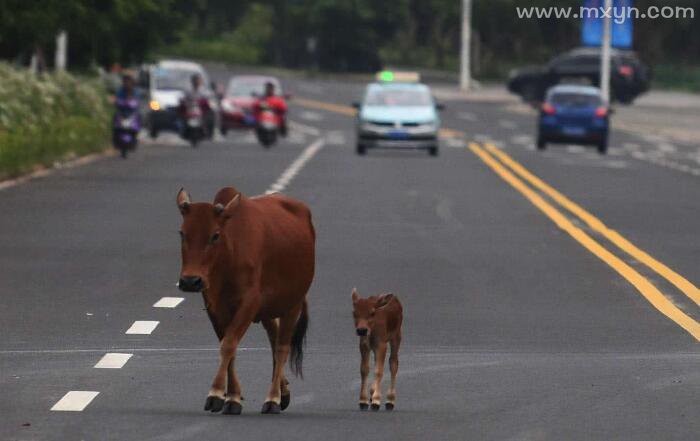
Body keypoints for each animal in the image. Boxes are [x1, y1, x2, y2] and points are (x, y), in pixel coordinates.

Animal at [176, 187, 316, 414]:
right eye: (182, 233)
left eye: (215, 235)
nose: (190, 281)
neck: (229, 255)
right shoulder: (215, 307)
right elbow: (228, 346)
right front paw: (232, 397)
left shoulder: (249, 303)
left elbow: (228, 345)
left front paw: (216, 394)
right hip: (268, 311)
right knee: (273, 338)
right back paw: (283, 392)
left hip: (292, 304)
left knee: (282, 347)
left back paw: (273, 398)